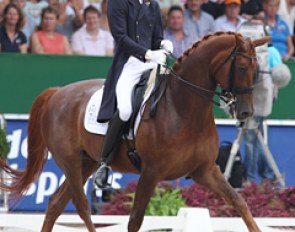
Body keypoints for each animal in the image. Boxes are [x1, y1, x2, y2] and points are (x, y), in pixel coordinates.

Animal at [0, 31, 270, 232]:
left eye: (257, 69)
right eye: (242, 66)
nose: (246, 112)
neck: (182, 107)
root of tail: (57, 92)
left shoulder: (204, 170)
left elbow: (239, 202)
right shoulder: (151, 172)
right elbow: (134, 220)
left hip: (86, 162)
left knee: (56, 203)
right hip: (69, 161)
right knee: (81, 205)